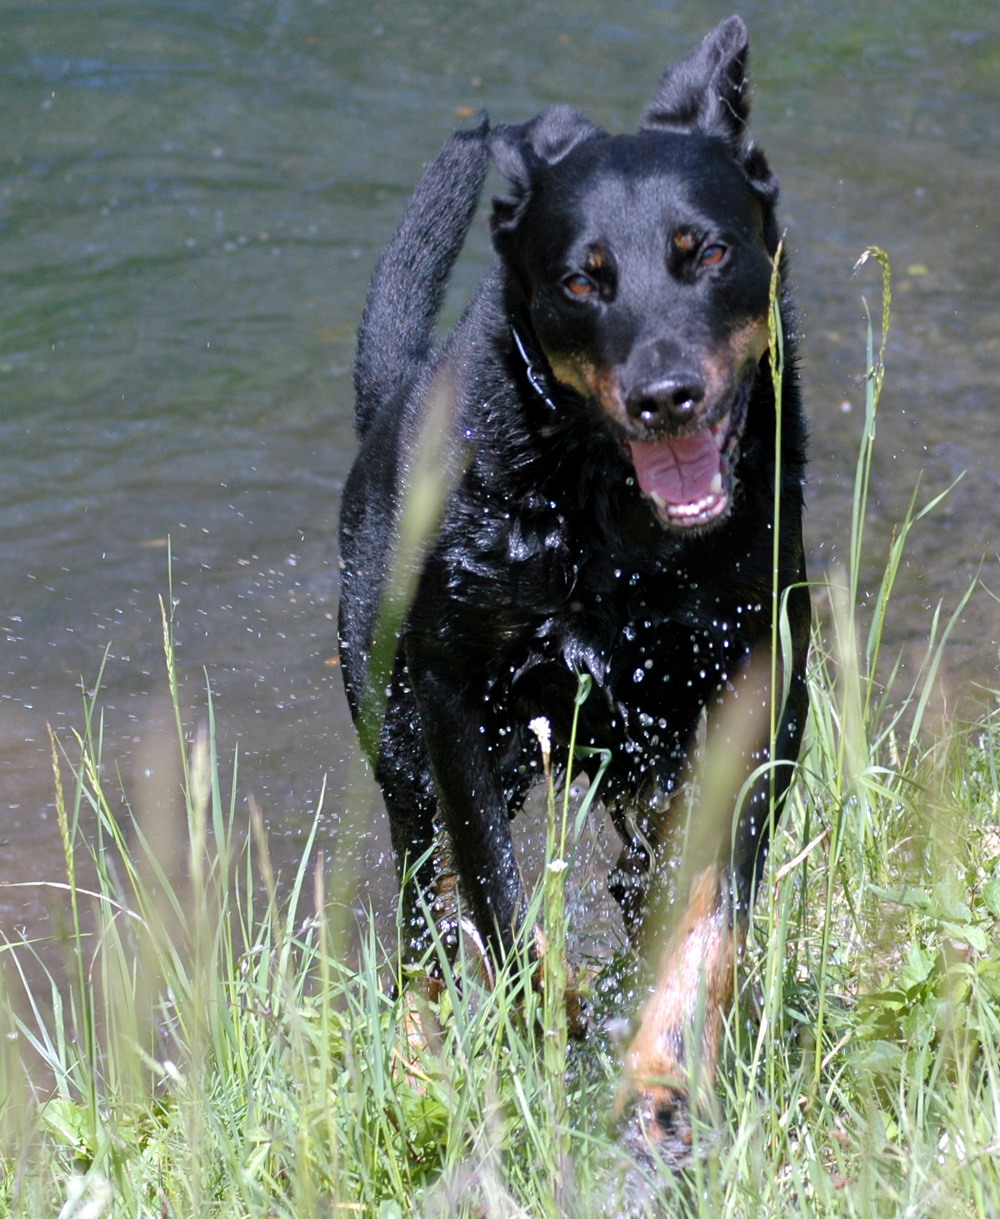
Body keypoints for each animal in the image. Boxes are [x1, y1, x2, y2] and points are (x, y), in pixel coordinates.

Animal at [339, 16, 809, 1160]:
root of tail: (389, 397)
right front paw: (557, 1019)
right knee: (426, 912)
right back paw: (424, 1059)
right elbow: (502, 916)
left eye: (707, 251)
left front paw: (659, 1077)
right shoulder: (454, 700)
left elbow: (705, 916)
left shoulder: (756, 695)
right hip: (400, 737)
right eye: (583, 279)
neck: (617, 541)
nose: (664, 395)